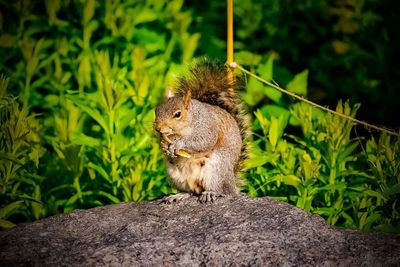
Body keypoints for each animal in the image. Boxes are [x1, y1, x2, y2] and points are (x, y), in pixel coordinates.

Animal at [155, 59, 248, 204]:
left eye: (177, 114)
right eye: (156, 110)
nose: (158, 128)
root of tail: (233, 186)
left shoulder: (207, 127)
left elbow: (203, 142)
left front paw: (178, 145)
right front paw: (164, 148)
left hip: (216, 170)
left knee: (222, 191)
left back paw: (210, 193)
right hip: (175, 175)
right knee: (191, 191)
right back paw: (179, 195)